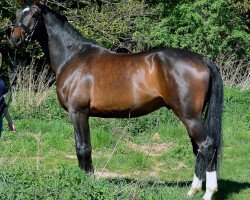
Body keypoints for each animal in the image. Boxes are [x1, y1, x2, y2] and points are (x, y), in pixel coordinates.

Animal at [10, 0, 224, 199]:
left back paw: (209, 192)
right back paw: (193, 190)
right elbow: (84, 147)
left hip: (189, 116)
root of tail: (203, 59)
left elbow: (83, 148)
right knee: (198, 149)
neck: (73, 56)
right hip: (190, 116)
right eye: (18, 13)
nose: (15, 38)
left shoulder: (78, 112)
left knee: (207, 146)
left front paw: (86, 183)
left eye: (35, 15)